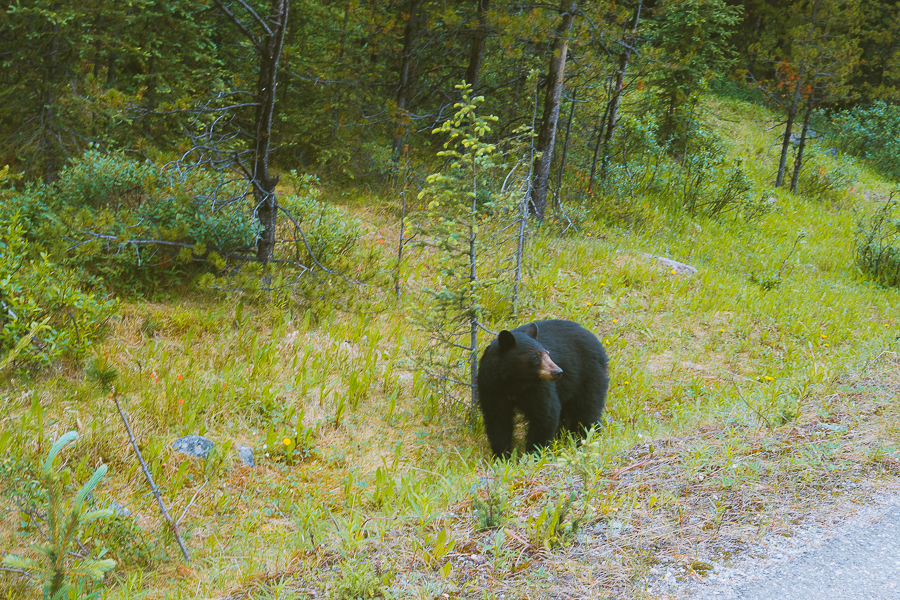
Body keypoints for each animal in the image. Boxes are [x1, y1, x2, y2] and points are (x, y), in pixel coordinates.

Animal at [474, 322, 608, 458]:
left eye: (548, 353)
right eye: (536, 357)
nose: (558, 372)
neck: (514, 381)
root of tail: (595, 338)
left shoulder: (539, 388)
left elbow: (546, 414)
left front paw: (534, 454)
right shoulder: (491, 386)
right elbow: (498, 419)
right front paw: (501, 455)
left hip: (588, 376)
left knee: (587, 408)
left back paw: (584, 438)